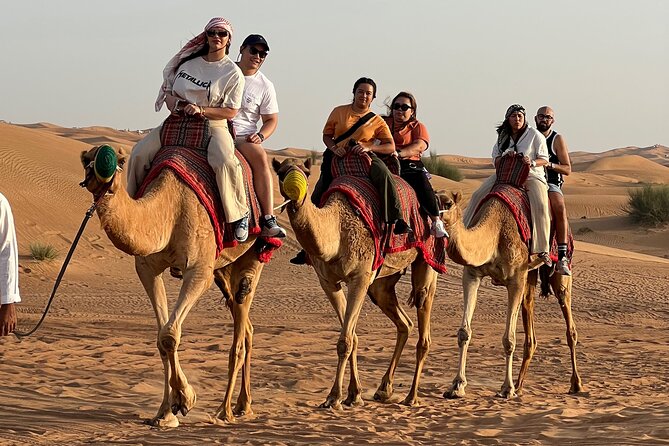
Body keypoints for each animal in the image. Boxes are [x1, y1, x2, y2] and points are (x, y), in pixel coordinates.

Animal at [80, 145, 264, 426]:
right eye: (86, 161)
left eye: (117, 160)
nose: (98, 176)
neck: (169, 211)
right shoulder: (147, 269)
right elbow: (161, 339)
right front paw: (165, 413)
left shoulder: (198, 270)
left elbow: (169, 334)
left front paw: (187, 398)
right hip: (222, 268)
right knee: (247, 327)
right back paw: (244, 405)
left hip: (253, 254)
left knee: (241, 327)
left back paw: (225, 411)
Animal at [272, 157, 438, 409]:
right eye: (281, 173)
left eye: (306, 172)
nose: (296, 191)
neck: (337, 230)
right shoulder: (328, 282)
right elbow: (352, 337)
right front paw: (353, 394)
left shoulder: (359, 278)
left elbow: (345, 340)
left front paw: (333, 397)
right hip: (381, 284)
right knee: (404, 323)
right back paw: (384, 389)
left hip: (427, 258)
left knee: (423, 324)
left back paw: (411, 396)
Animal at [437, 191, 583, 399]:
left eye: (448, 203)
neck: (494, 232)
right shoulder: (472, 274)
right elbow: (464, 332)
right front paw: (457, 386)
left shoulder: (515, 279)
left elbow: (509, 339)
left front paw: (507, 388)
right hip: (530, 275)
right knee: (529, 314)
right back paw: (520, 386)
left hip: (559, 272)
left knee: (569, 322)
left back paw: (576, 384)